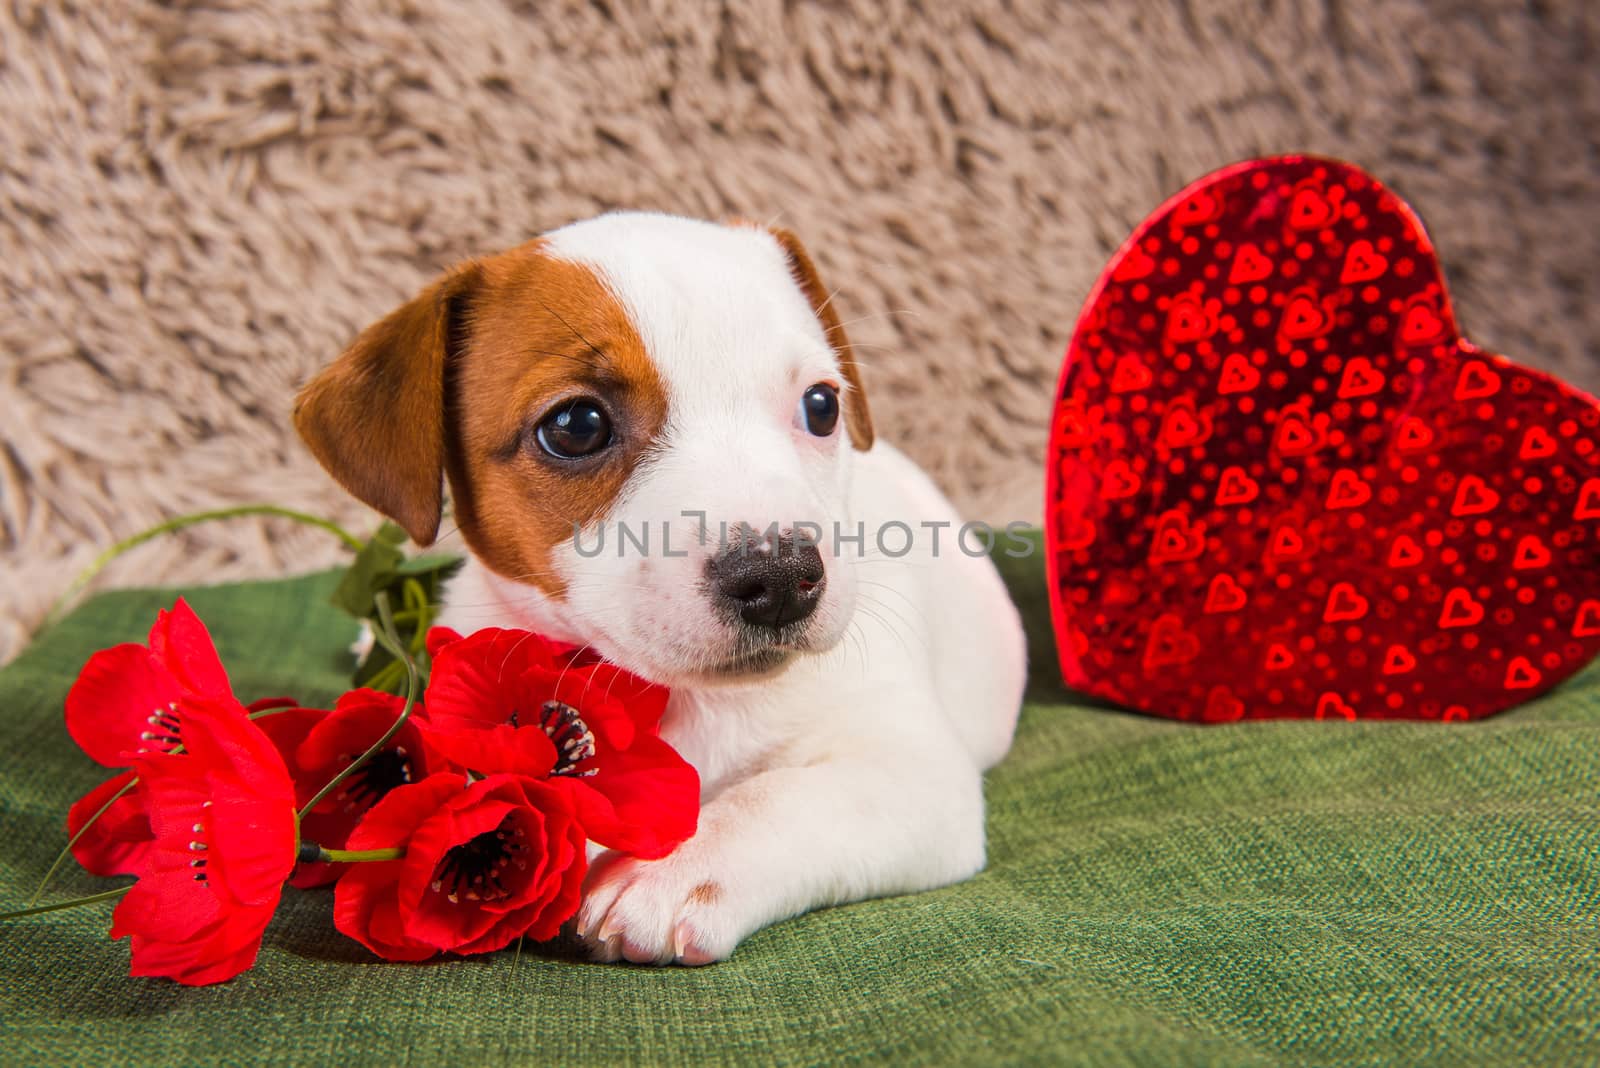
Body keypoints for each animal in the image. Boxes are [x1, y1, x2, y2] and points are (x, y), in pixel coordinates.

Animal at [294, 212, 1024, 965]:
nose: (781, 579)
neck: (688, 700)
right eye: (576, 426)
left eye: (822, 405)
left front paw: (676, 867)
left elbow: (784, 796)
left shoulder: (911, 771)